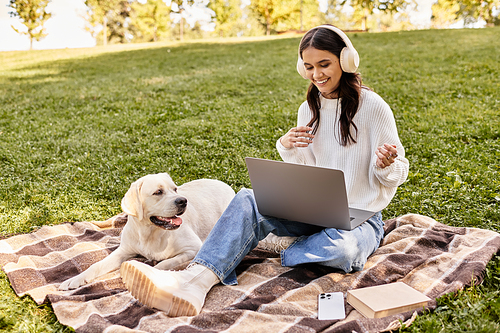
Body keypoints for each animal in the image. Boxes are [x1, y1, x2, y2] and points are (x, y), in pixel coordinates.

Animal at [59, 172, 235, 290]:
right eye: (158, 192)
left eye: (175, 189)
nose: (183, 201)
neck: (150, 233)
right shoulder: (123, 251)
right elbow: (96, 265)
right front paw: (74, 279)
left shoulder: (193, 248)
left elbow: (164, 263)